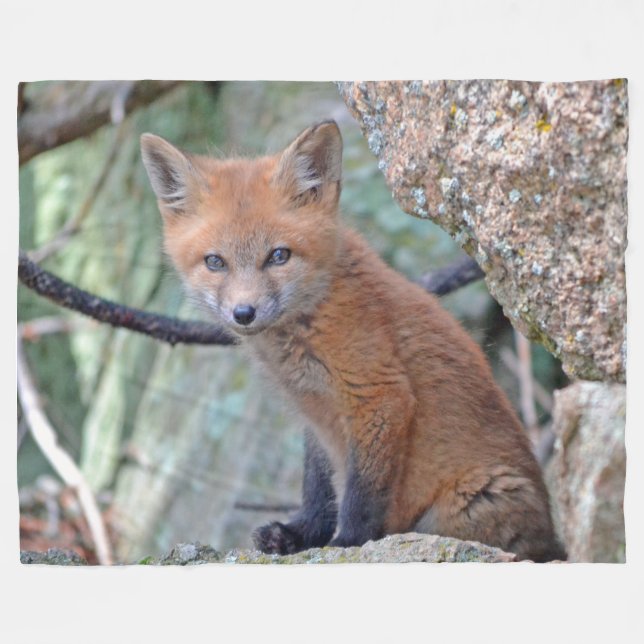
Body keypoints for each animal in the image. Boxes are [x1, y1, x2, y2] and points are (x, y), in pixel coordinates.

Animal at [140, 120, 566, 562]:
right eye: (215, 262)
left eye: (278, 256)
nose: (244, 313)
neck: (311, 319)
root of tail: (553, 538)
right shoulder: (316, 416)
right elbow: (319, 488)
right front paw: (300, 535)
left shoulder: (379, 395)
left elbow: (362, 494)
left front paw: (348, 543)